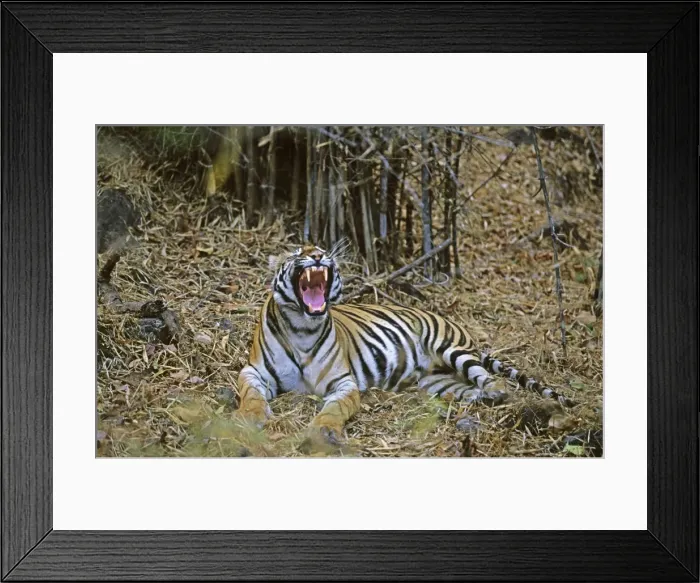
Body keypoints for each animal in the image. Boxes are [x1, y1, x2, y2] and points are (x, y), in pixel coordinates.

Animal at [236, 242, 572, 444]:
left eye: (321, 248)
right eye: (297, 251)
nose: (318, 255)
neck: (302, 327)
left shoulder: (343, 382)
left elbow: (335, 408)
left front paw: (324, 429)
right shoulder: (253, 371)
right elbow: (251, 395)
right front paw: (250, 417)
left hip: (452, 349)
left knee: (492, 381)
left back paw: (507, 397)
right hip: (437, 382)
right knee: (469, 391)